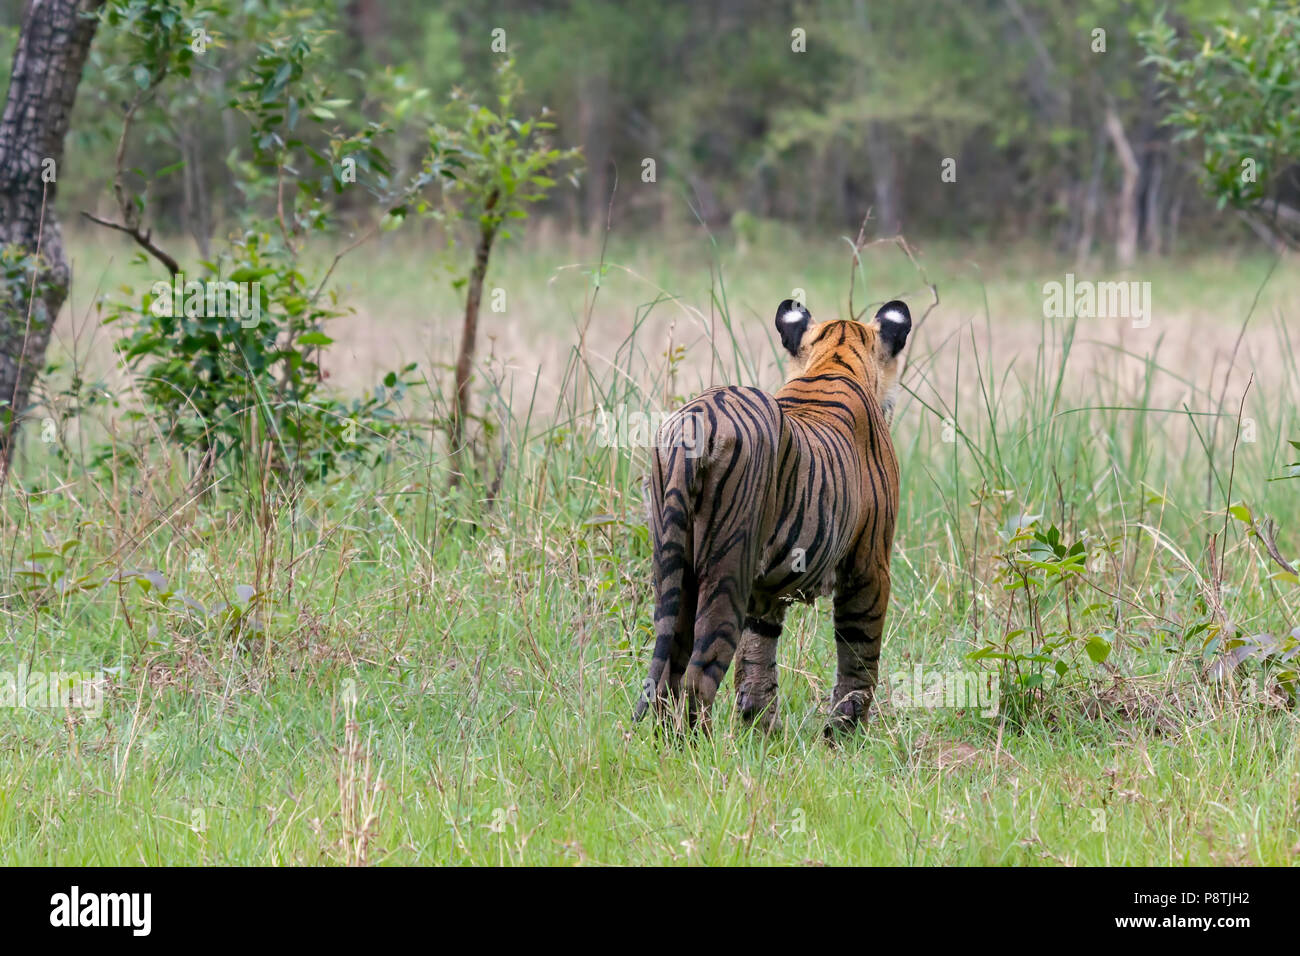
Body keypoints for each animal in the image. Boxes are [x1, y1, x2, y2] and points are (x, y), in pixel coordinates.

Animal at [634, 299, 909, 738]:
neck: (835, 356)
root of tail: (700, 415)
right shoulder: (870, 565)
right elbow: (859, 656)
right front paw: (844, 736)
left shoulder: (764, 593)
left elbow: (757, 658)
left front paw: (760, 730)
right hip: (727, 568)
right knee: (698, 677)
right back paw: (699, 749)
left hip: (672, 568)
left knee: (666, 678)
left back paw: (666, 744)